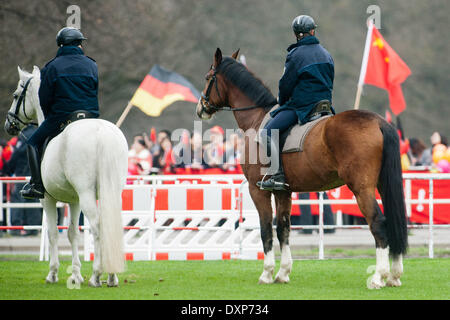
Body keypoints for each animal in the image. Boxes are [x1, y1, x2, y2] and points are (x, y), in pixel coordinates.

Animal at [5, 67, 128, 288]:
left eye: (16, 95)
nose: (9, 124)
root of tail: (101, 133)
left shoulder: (47, 199)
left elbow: (53, 233)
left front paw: (53, 273)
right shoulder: (74, 201)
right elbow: (73, 233)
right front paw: (76, 274)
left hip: (87, 195)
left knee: (97, 227)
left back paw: (97, 275)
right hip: (111, 193)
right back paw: (111, 276)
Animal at [197, 48, 408, 290]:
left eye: (208, 78)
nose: (201, 108)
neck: (257, 119)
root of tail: (378, 122)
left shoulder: (257, 190)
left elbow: (266, 229)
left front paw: (267, 274)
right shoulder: (283, 191)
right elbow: (284, 228)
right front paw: (283, 273)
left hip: (362, 189)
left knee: (378, 223)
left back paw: (378, 277)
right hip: (382, 185)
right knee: (392, 222)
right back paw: (394, 276)